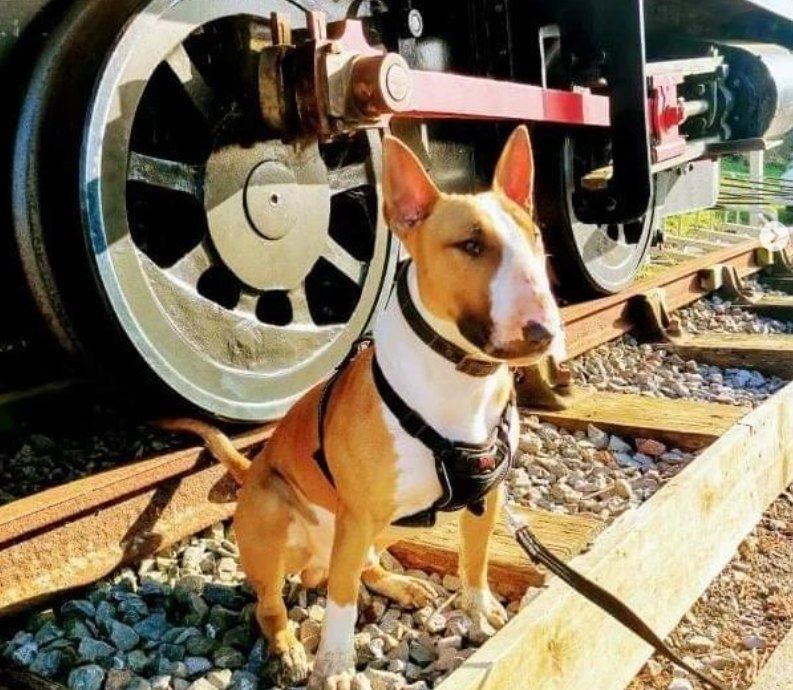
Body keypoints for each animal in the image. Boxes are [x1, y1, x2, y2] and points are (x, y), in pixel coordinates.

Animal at [164, 125, 564, 688]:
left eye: (535, 237)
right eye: (471, 244)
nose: (544, 332)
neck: (460, 381)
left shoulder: (485, 495)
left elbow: (476, 559)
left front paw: (480, 609)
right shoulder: (356, 514)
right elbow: (341, 601)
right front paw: (335, 664)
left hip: (382, 525)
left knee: (359, 568)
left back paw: (400, 585)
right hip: (275, 515)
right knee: (276, 601)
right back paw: (289, 648)